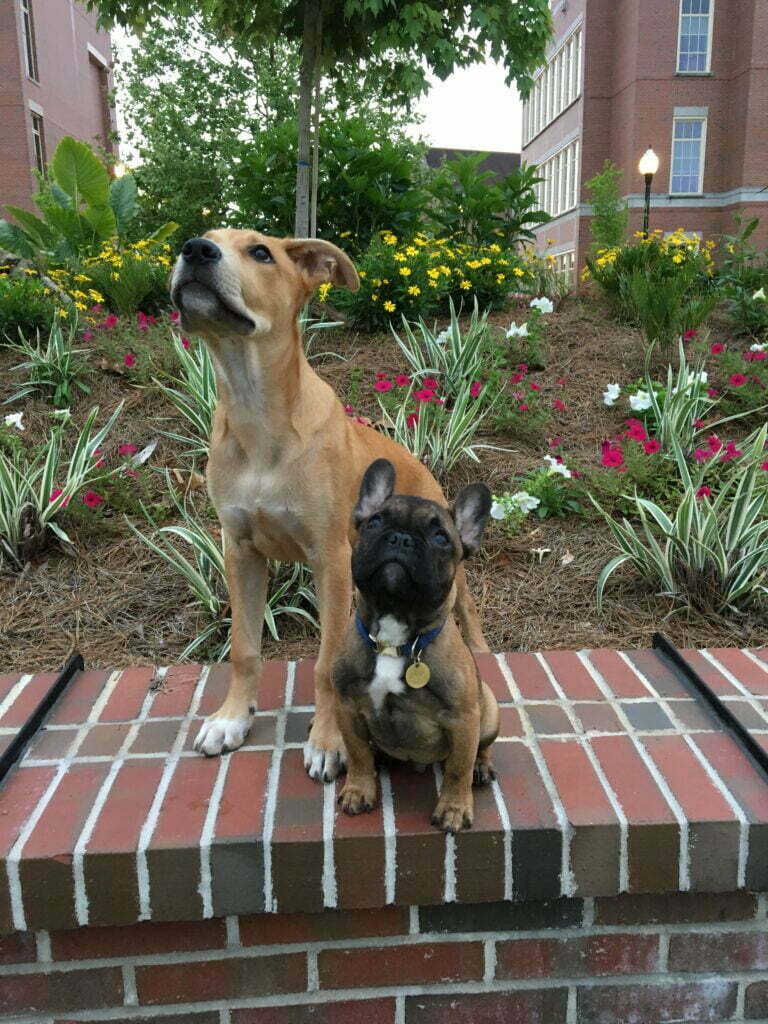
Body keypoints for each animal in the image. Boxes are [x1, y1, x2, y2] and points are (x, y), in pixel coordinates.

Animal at [172, 228, 489, 778]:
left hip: (455, 581)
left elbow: (325, 662)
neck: (257, 415)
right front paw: (233, 717)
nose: (195, 250)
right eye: (206, 238)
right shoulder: (239, 551)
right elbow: (244, 647)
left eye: (261, 252)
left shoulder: (332, 560)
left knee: (468, 622)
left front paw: (327, 739)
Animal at [333, 458, 501, 831]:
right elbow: (357, 754)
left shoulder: (463, 719)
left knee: (480, 749)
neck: (394, 637)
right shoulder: (347, 707)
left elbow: (457, 769)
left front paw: (454, 809)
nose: (401, 538)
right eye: (375, 522)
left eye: (440, 538)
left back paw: (482, 766)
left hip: (488, 708)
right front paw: (358, 789)